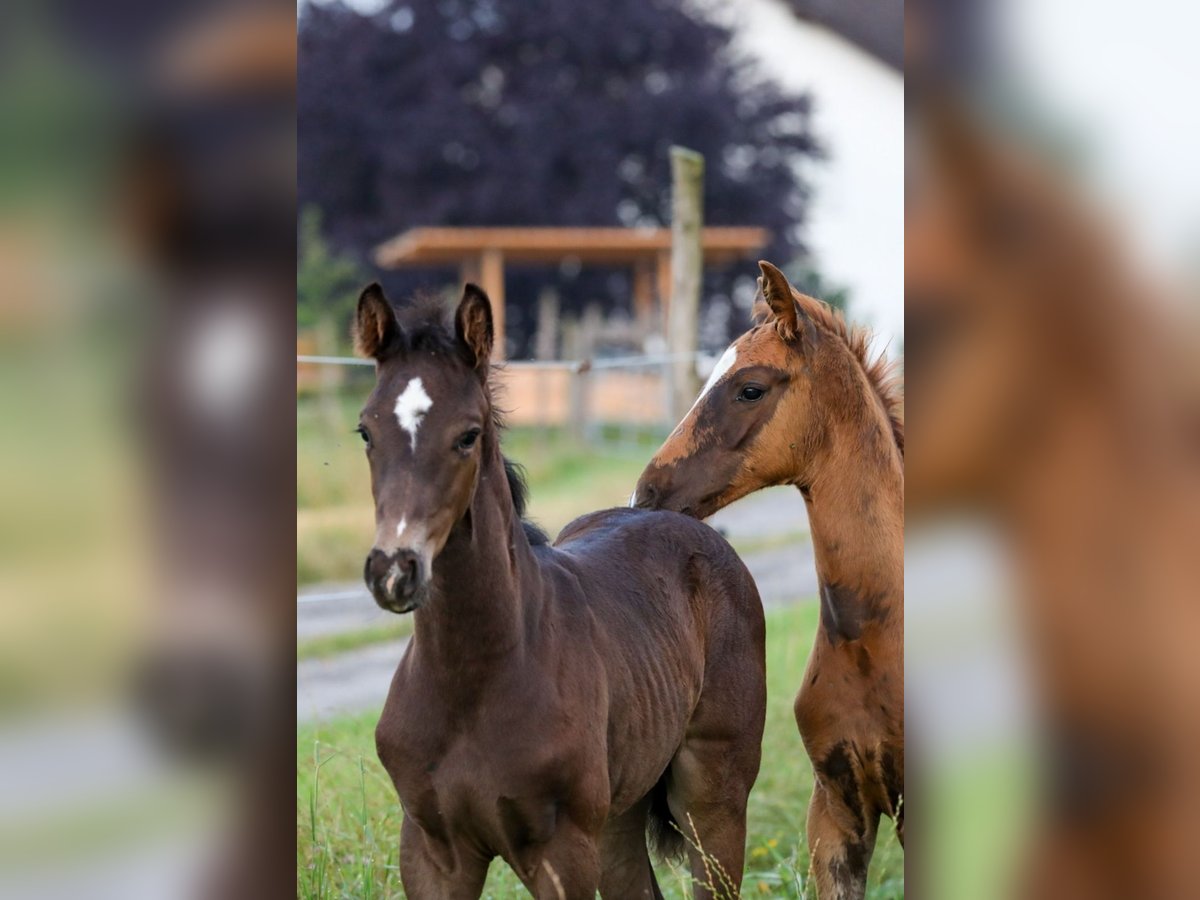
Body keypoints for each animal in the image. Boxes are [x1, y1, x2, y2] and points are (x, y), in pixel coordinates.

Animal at [350, 283, 763, 900]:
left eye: (467, 435)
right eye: (367, 431)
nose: (396, 570)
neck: (473, 677)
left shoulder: (561, 853)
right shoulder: (430, 851)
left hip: (711, 798)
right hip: (620, 813)